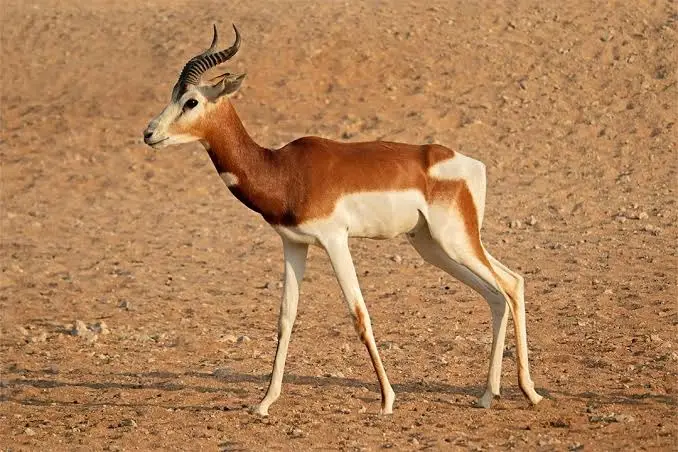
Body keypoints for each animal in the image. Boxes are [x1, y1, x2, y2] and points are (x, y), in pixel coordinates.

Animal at [143, 25, 543, 416]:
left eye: (191, 101)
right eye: (173, 94)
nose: (149, 133)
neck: (283, 171)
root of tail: (471, 164)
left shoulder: (335, 240)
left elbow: (358, 313)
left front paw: (387, 400)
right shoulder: (293, 243)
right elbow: (286, 316)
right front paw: (265, 402)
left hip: (455, 241)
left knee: (506, 287)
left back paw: (528, 392)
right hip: (434, 246)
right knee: (504, 288)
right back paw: (493, 394)